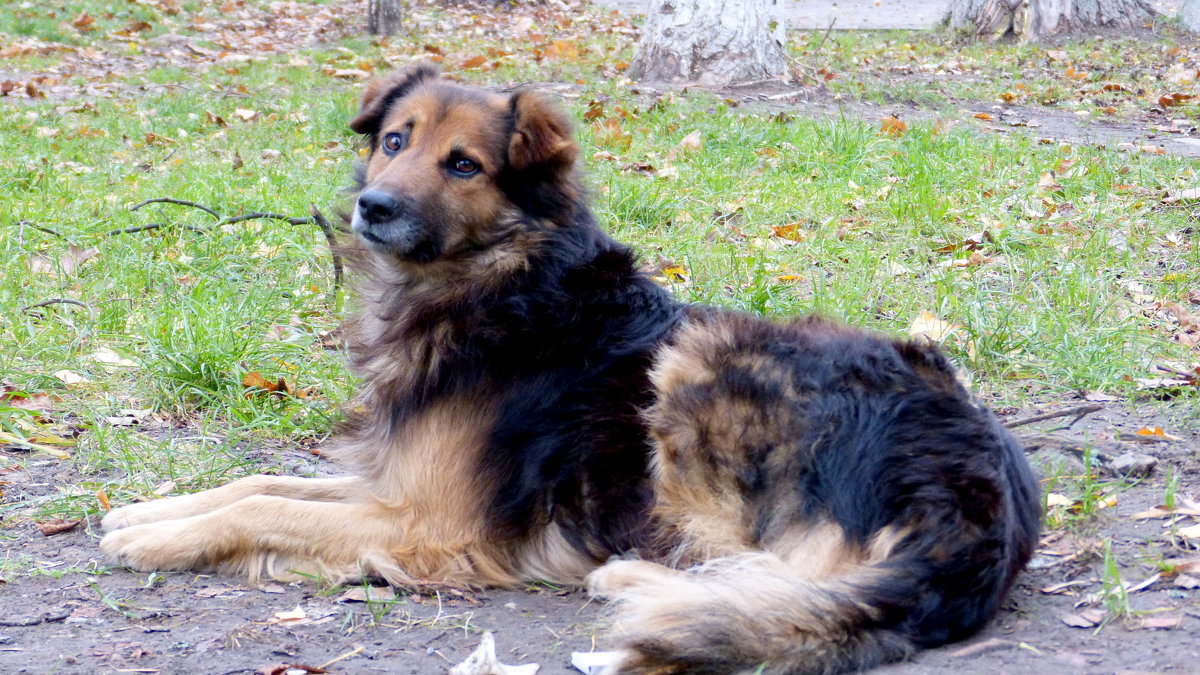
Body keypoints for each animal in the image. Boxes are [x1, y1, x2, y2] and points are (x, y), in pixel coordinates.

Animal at [103, 64, 1041, 672]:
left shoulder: (433, 523)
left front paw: (156, 538)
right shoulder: (393, 480)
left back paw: (630, 576)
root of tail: (978, 484)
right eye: (395, 140)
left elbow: (265, 504)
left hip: (702, 364)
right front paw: (150, 512)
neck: (496, 287)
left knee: (783, 572)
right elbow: (257, 483)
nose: (376, 206)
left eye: (464, 164)